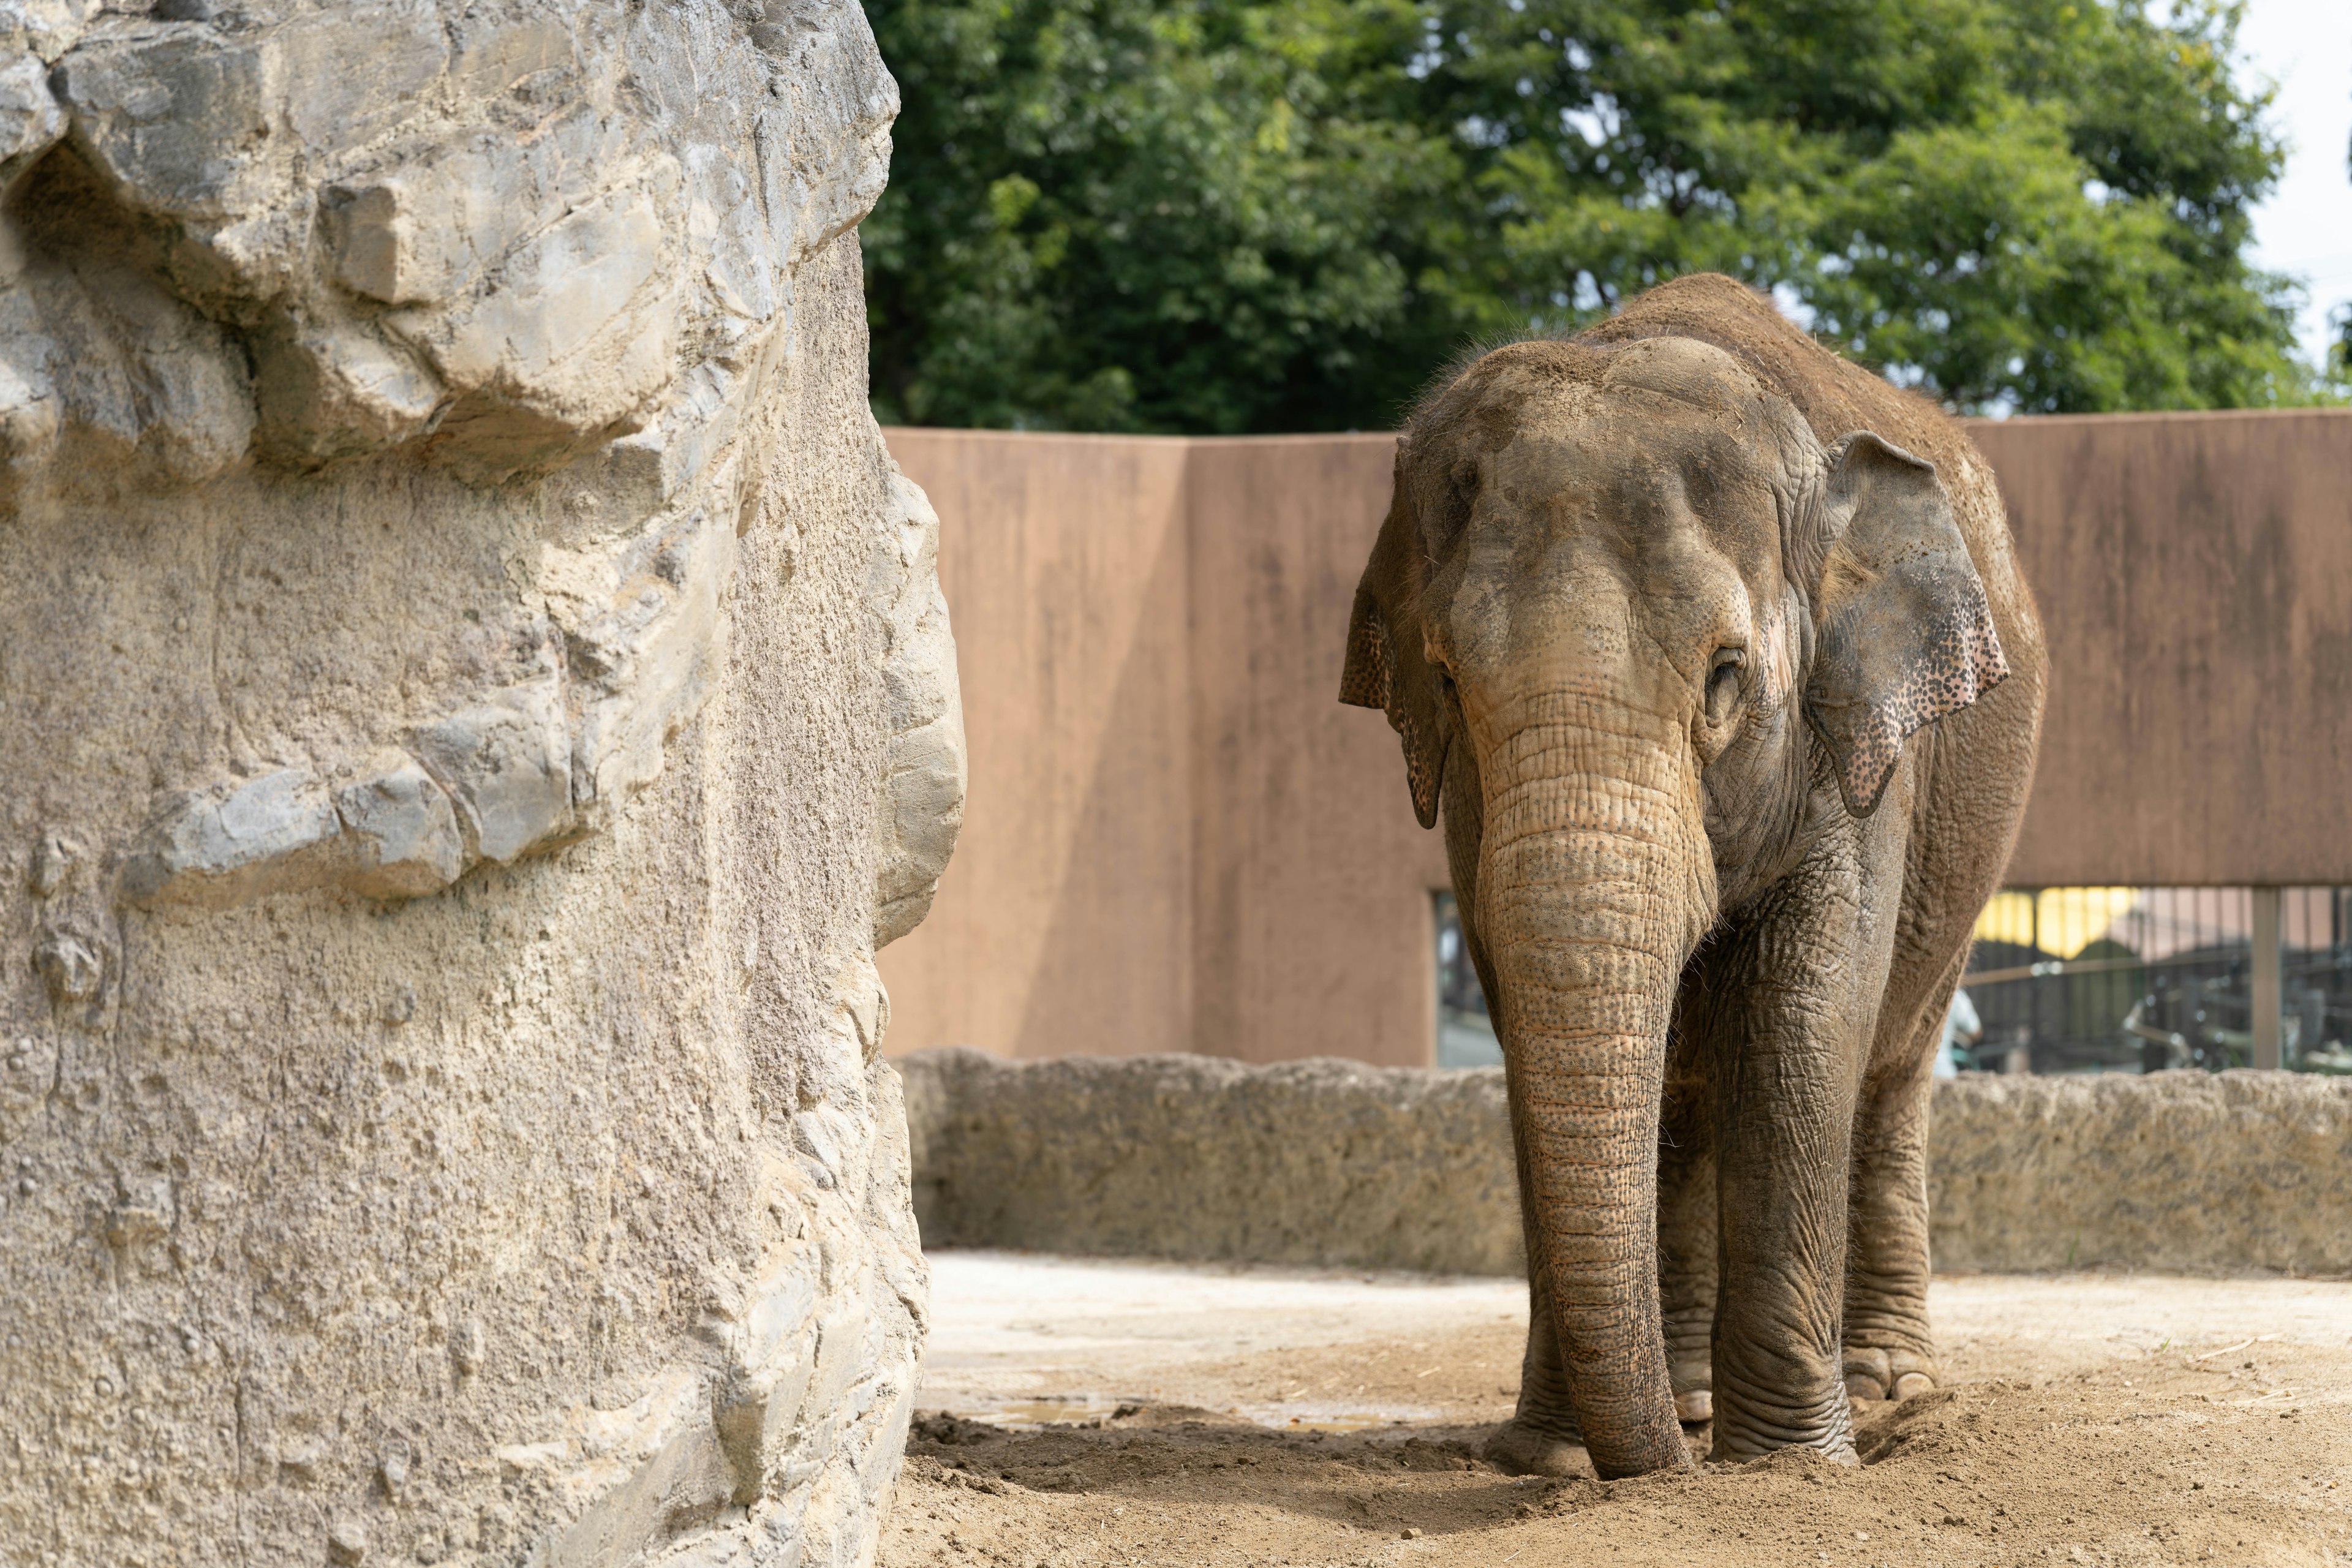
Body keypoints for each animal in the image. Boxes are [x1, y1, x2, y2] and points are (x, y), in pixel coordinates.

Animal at [1345, 276, 2041, 1476]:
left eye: (1726, 678)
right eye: (1447, 679)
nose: (1660, 1460)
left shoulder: (1857, 741)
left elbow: (1802, 1023)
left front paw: (1789, 1468)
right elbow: (1527, 1014)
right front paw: (1553, 1461)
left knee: (1890, 1068)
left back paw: (1885, 1388)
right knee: (1690, 1088)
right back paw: (1696, 1397)